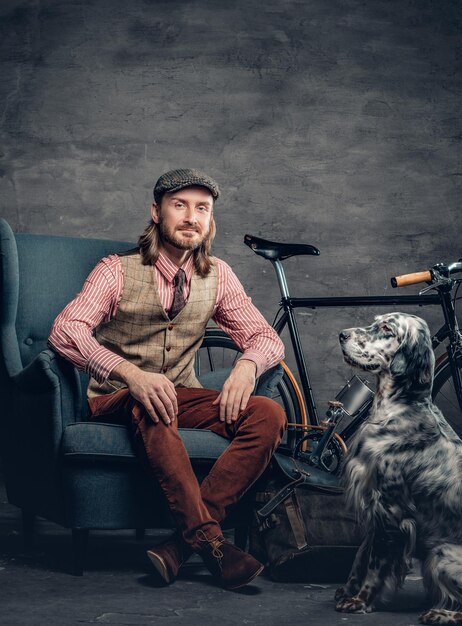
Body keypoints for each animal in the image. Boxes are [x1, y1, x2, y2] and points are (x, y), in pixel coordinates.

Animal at [334, 310, 462, 620]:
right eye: (374, 321)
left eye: (386, 329)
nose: (342, 335)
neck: (400, 408)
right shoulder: (373, 503)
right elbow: (361, 555)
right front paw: (347, 592)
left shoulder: (390, 508)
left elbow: (375, 563)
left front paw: (360, 601)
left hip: (441, 554)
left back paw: (440, 614)